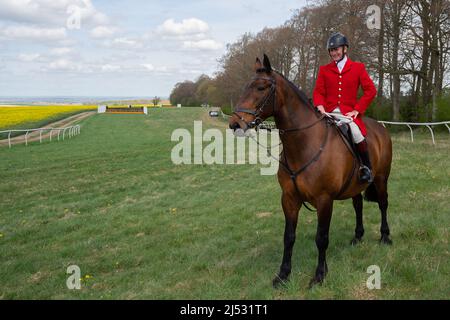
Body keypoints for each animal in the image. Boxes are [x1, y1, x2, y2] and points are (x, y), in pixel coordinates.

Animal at [230, 54, 392, 288]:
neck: (304, 144)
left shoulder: (324, 200)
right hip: (355, 184)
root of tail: (380, 127)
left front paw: (319, 275)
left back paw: (385, 237)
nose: (234, 123)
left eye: (261, 87)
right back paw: (358, 236)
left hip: (381, 178)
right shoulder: (289, 198)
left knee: (383, 204)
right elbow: (288, 237)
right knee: (358, 205)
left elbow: (321, 238)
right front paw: (283, 274)